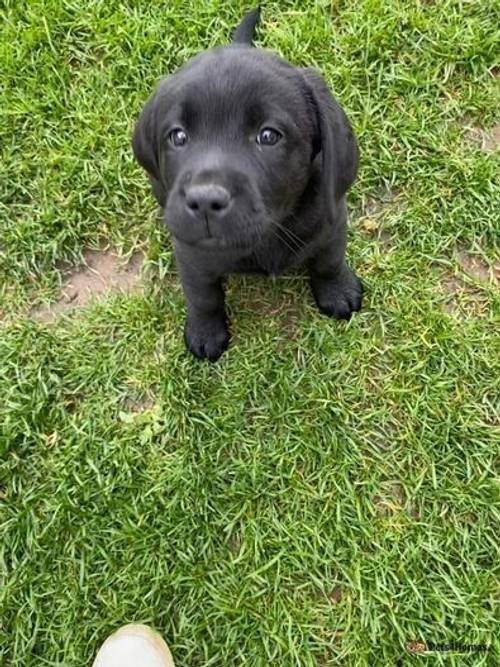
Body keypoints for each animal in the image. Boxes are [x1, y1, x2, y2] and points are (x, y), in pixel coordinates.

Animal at [133, 6, 362, 360]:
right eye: (178, 136)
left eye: (268, 136)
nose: (204, 201)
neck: (267, 233)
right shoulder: (190, 252)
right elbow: (203, 295)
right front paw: (205, 332)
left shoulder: (333, 222)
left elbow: (329, 261)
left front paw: (338, 291)